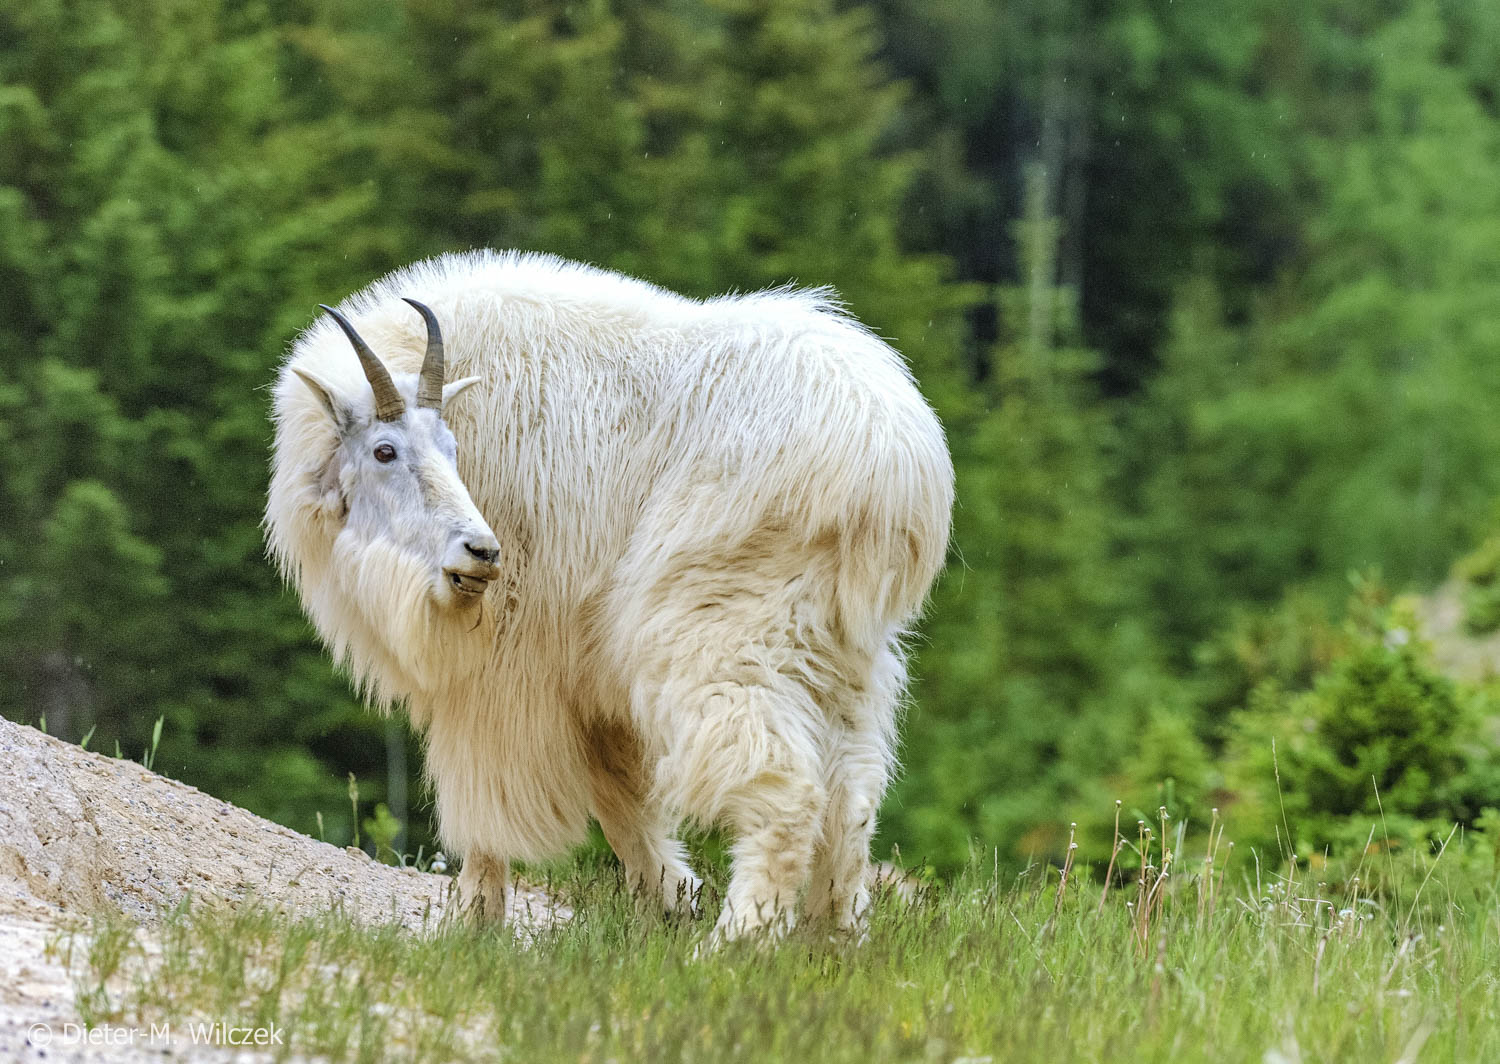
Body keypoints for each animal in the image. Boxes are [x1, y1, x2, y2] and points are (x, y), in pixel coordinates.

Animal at [265, 250, 953, 942]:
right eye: (385, 450)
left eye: (450, 448)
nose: (481, 555)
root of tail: (897, 464)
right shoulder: (588, 681)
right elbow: (622, 799)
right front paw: (669, 902)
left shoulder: (507, 666)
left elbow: (488, 808)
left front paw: (472, 927)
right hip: (844, 648)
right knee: (852, 797)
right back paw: (832, 940)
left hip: (722, 624)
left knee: (786, 786)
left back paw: (732, 945)